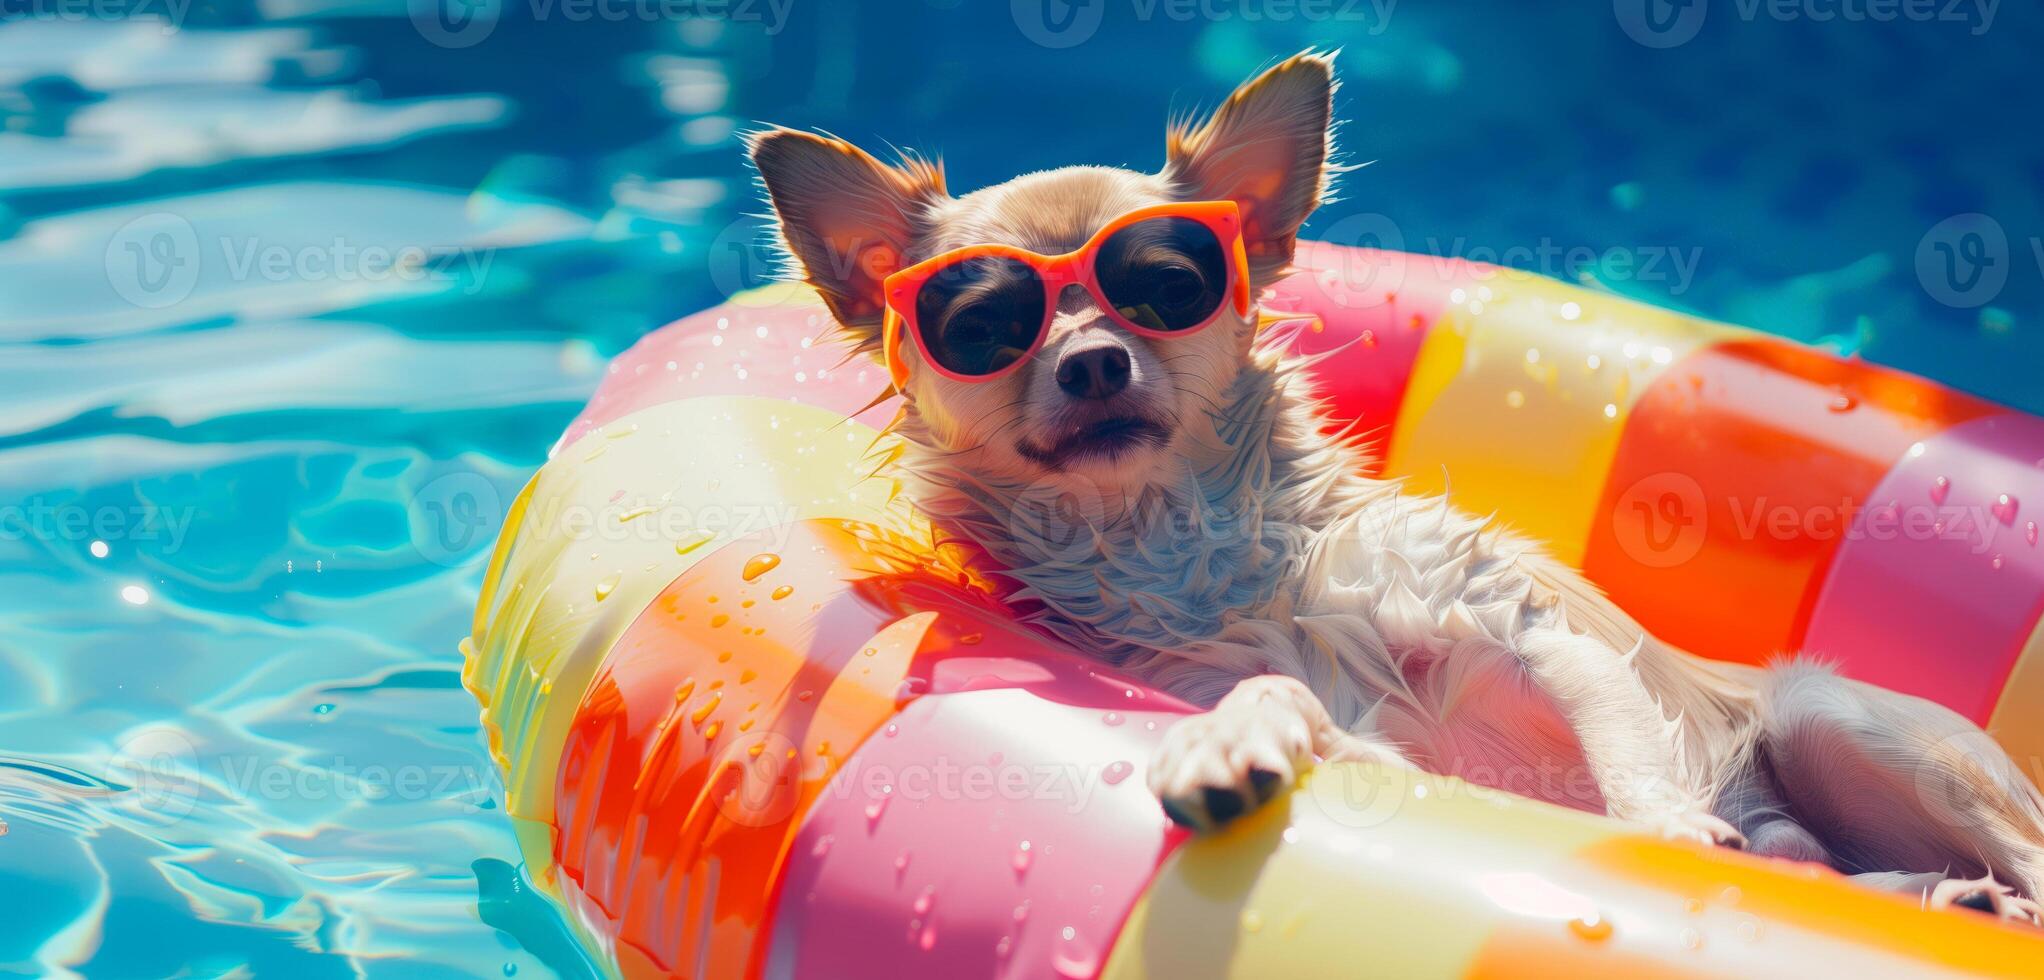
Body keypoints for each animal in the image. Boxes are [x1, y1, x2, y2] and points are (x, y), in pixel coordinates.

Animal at [748, 49, 2043, 924]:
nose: (1093, 360)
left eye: (1165, 284)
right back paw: (1940, 894)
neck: (1184, 542)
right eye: (982, 324)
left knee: (1999, 855)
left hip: (1827, 716)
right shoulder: (1369, 742)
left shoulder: (1536, 634)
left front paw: (1668, 824)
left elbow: (1624, 746)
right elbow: (1282, 696)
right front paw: (1226, 742)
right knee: (1835, 869)